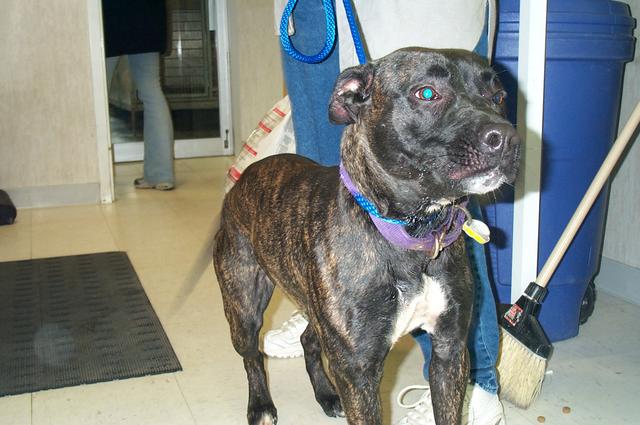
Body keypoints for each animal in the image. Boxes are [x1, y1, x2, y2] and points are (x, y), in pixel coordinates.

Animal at [213, 48, 520, 425]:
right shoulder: (359, 373)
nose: (508, 138)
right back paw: (260, 405)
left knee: (308, 340)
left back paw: (326, 394)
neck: (412, 234)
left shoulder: (450, 351)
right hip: (244, 307)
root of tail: (244, 179)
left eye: (499, 96)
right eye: (427, 93)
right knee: (252, 356)